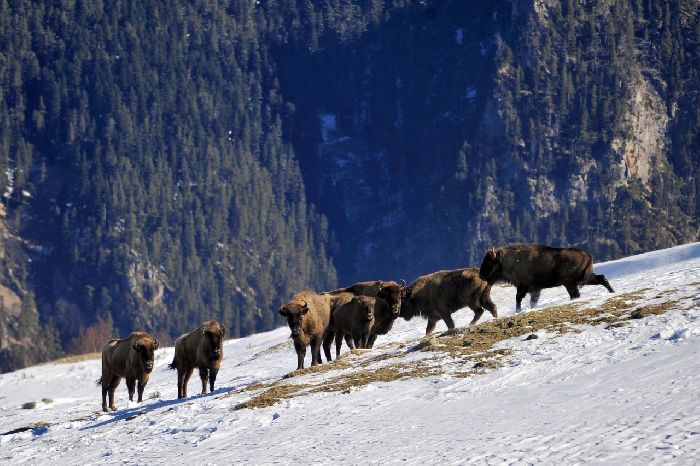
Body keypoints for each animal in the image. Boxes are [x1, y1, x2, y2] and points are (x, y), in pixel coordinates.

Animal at [478, 242, 616, 312]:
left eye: (489, 262)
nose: (481, 275)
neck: (507, 260)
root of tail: (587, 254)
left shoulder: (524, 287)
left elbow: (518, 298)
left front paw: (518, 311)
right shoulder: (535, 289)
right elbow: (532, 300)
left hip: (571, 282)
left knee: (575, 294)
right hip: (583, 279)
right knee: (602, 278)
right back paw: (612, 291)